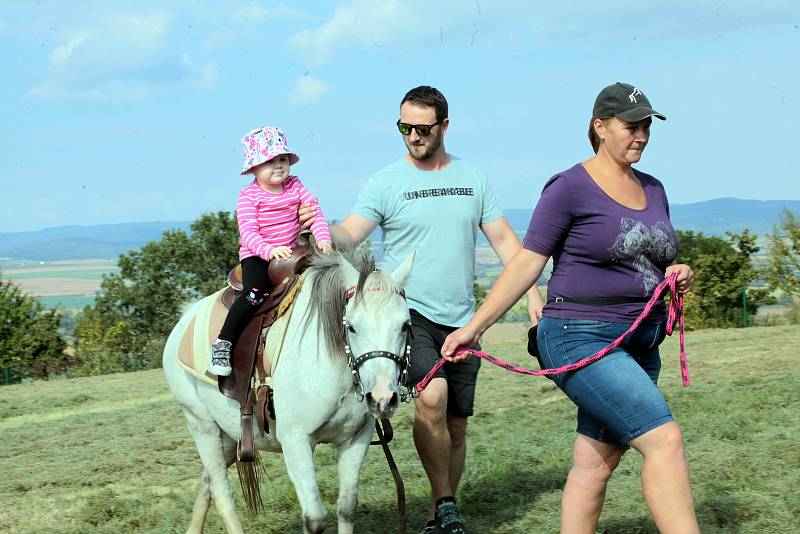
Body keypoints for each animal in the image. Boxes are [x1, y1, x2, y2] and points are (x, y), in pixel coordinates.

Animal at [162, 252, 412, 534]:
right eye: (352, 327)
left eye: (405, 325)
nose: (382, 398)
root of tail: (184, 319)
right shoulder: (296, 441)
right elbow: (314, 519)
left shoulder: (355, 439)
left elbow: (347, 508)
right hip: (202, 425)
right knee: (221, 492)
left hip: (227, 435)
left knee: (207, 483)